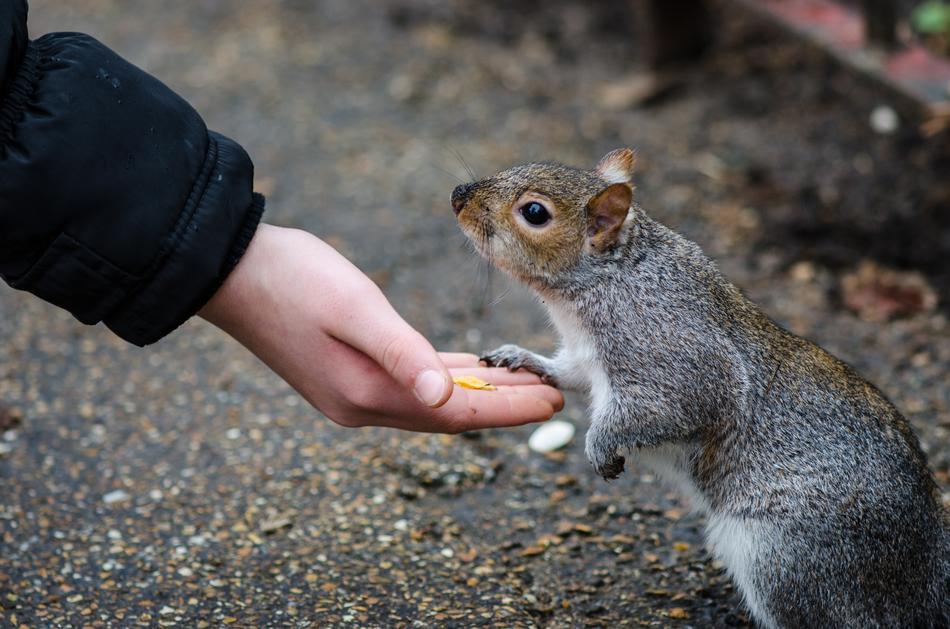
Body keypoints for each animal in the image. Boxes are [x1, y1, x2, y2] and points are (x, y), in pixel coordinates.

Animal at [451, 148, 950, 628]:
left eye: (534, 212)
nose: (458, 196)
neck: (610, 279)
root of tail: (924, 564)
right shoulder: (583, 357)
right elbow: (568, 372)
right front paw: (521, 358)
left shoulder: (674, 356)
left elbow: (673, 407)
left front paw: (600, 444)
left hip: (785, 557)